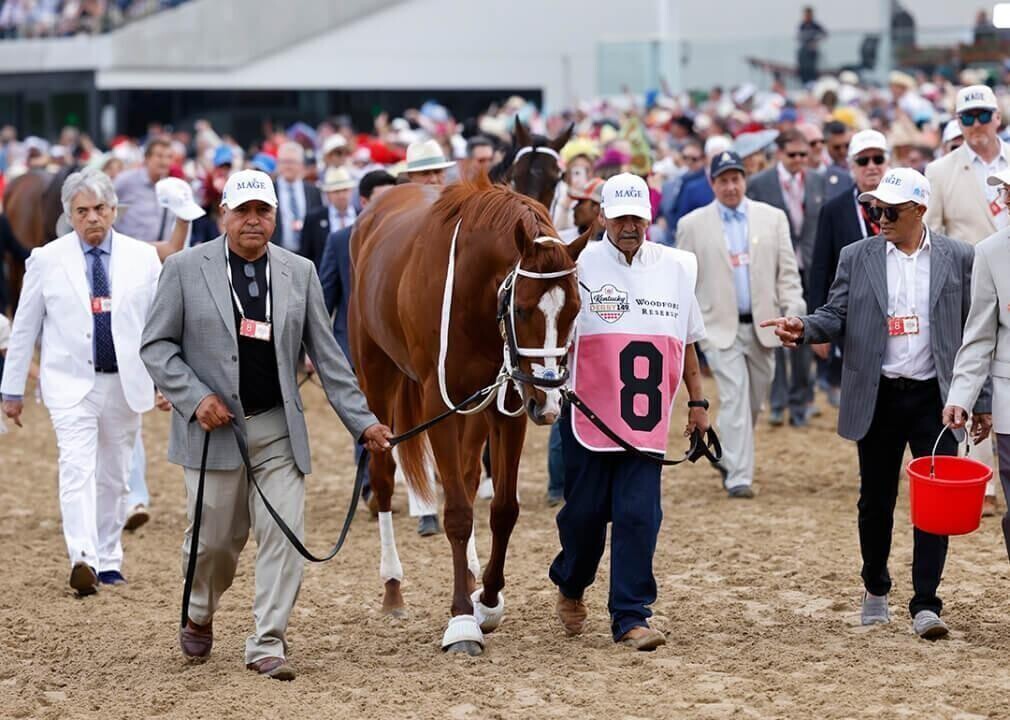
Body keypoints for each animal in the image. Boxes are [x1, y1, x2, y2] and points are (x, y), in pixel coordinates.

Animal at [353, 176, 589, 654]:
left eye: (574, 309)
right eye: (522, 309)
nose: (550, 402)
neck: (472, 292)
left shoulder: (511, 401)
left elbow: (503, 508)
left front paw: (489, 600)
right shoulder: (438, 406)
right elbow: (458, 513)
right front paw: (462, 619)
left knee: (463, 472)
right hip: (376, 373)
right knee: (384, 477)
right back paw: (393, 588)